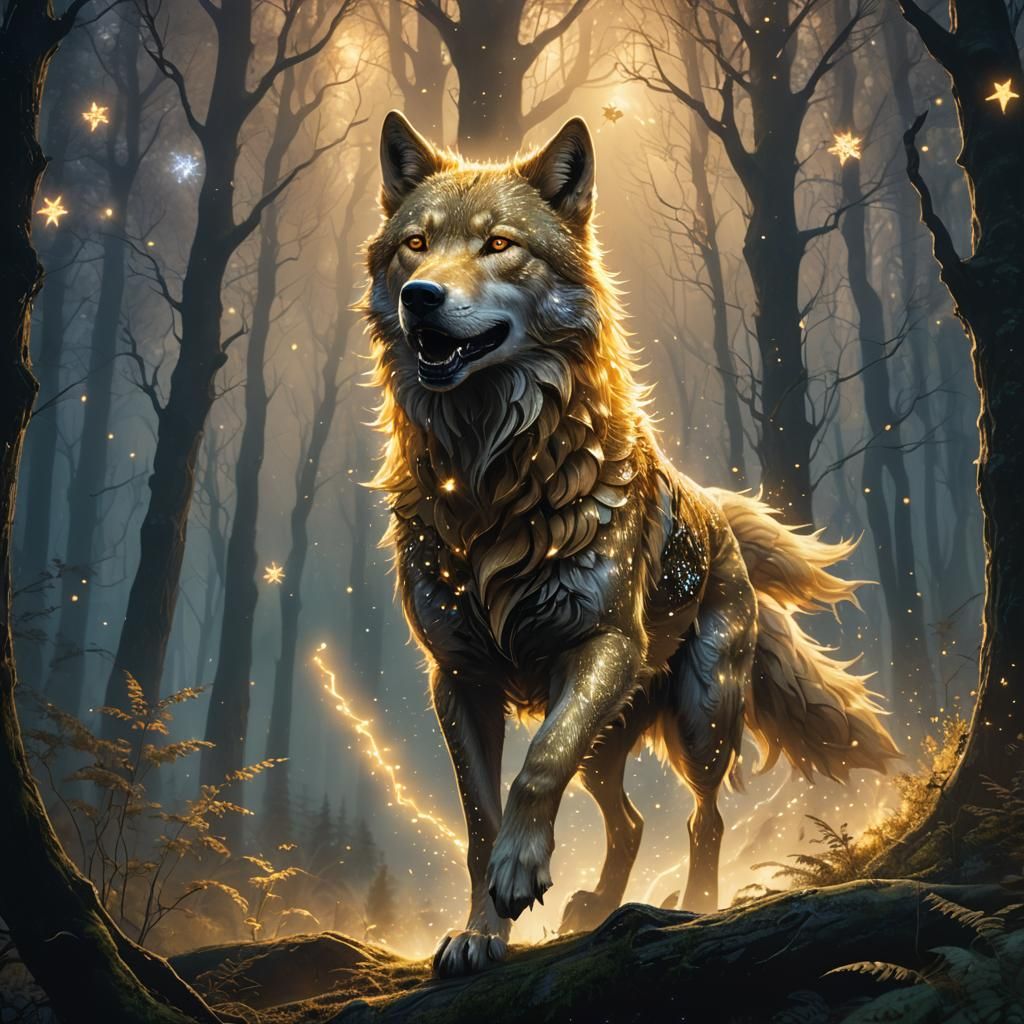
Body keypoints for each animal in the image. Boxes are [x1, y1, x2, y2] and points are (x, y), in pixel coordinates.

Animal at [362, 111, 900, 977]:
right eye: (415, 245)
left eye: (499, 243)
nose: (420, 298)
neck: (492, 472)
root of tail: (719, 512)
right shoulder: (459, 679)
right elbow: (479, 821)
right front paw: (481, 931)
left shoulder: (604, 644)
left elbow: (536, 769)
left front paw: (520, 872)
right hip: (610, 739)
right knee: (631, 822)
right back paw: (599, 906)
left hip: (701, 714)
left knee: (702, 818)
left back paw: (699, 905)